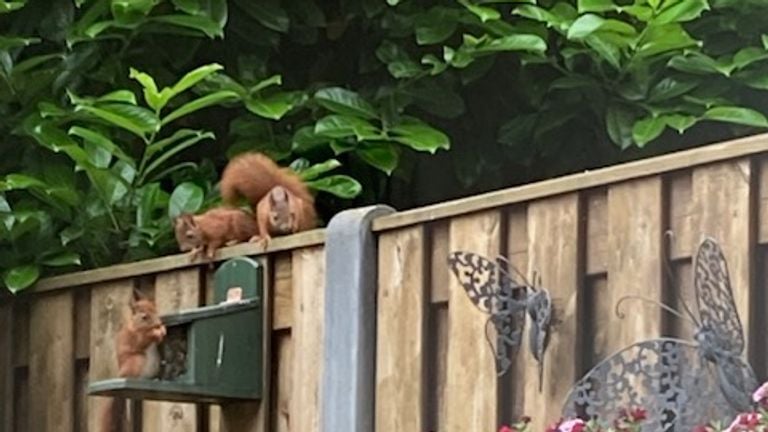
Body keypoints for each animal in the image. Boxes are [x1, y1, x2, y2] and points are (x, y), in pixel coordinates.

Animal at [100, 288, 166, 430]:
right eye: (144, 317)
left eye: (156, 310)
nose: (159, 324)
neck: (135, 325)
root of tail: (121, 376)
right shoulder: (135, 338)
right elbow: (144, 339)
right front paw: (155, 333)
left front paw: (163, 330)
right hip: (137, 361)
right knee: (133, 376)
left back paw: (154, 379)